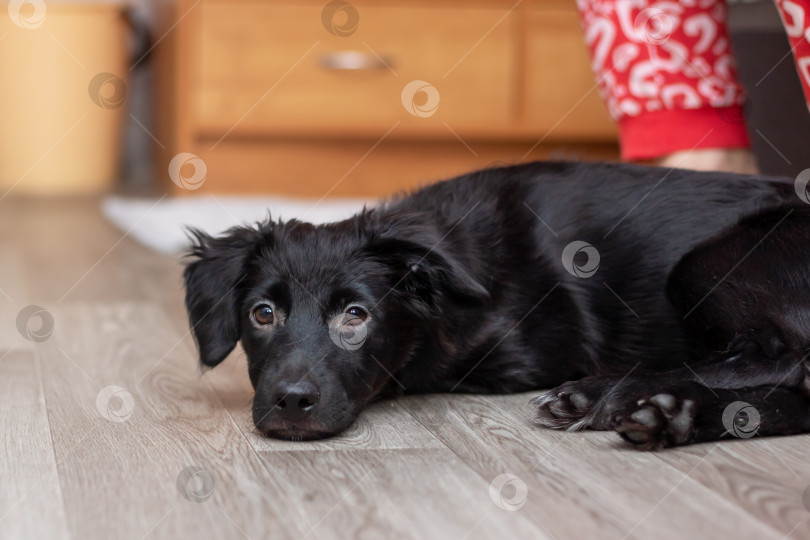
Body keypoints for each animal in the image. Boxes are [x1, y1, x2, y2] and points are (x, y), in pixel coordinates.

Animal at [183, 160, 808, 448]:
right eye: (263, 314)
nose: (290, 401)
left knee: (784, 358)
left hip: (709, 262)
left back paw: (610, 395)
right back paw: (671, 415)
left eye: (355, 315)